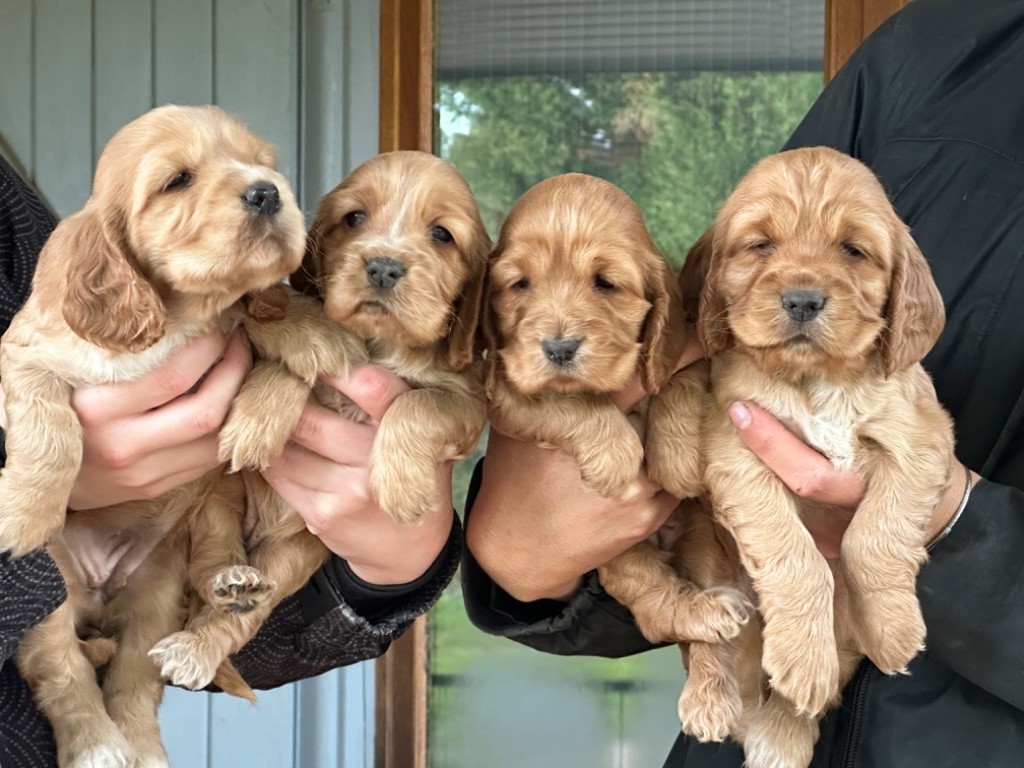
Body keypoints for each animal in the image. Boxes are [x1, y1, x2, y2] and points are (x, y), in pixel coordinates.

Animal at [479, 176, 753, 651]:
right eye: (520, 284)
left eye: (605, 283)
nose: (560, 348)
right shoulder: (507, 384)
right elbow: (570, 400)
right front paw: (615, 456)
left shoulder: (691, 354)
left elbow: (676, 381)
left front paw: (678, 461)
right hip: (617, 551)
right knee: (650, 599)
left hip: (700, 533)